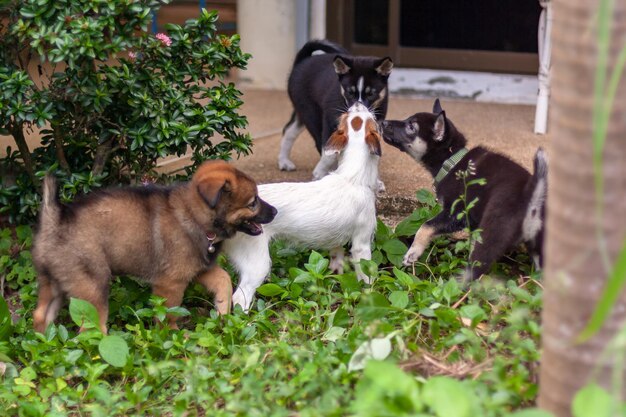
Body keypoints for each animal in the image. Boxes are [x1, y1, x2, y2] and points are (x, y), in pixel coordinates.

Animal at [31, 161, 276, 334]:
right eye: (253, 202)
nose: (274, 212)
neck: (195, 215)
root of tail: (55, 220)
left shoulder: (197, 269)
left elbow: (224, 279)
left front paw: (223, 311)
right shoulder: (171, 282)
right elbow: (169, 312)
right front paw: (173, 335)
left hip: (54, 282)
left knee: (40, 314)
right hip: (92, 286)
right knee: (89, 329)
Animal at [224, 102, 380, 310]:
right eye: (370, 118)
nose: (357, 103)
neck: (353, 177)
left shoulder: (337, 241)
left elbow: (336, 258)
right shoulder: (361, 245)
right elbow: (366, 276)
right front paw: (370, 296)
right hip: (257, 264)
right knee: (239, 298)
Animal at [276, 39, 390, 180]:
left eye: (371, 94)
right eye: (350, 93)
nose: (358, 111)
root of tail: (301, 61)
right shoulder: (329, 122)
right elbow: (329, 153)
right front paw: (319, 173)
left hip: (302, 112)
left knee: (289, 130)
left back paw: (284, 161)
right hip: (311, 114)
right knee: (314, 141)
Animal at [378, 98, 544, 282]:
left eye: (411, 127)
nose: (382, 122)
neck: (451, 161)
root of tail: (532, 196)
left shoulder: (456, 213)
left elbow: (426, 226)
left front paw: (413, 251)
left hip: (491, 235)